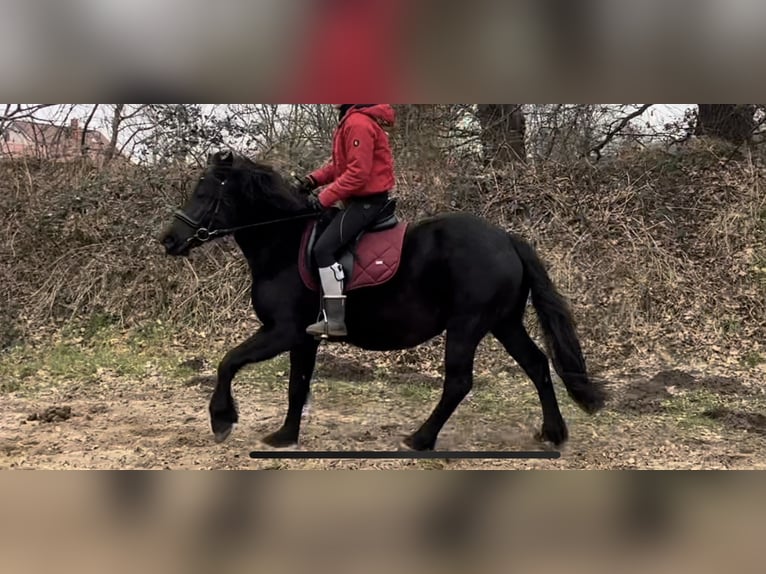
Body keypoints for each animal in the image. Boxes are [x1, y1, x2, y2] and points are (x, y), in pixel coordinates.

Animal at [160, 154, 608, 454]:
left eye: (204, 192)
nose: (168, 240)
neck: (283, 244)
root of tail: (507, 239)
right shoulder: (304, 338)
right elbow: (296, 385)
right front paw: (285, 437)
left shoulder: (282, 330)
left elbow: (229, 362)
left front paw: (222, 419)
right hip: (504, 323)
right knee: (537, 365)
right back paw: (553, 433)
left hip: (467, 325)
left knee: (459, 382)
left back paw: (420, 439)